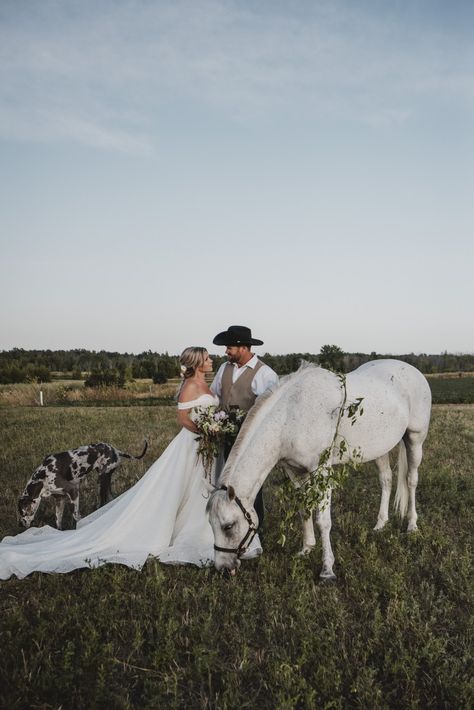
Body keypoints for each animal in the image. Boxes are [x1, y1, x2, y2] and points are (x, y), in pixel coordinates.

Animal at [18, 442, 148, 532]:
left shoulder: (73, 491)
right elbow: (58, 520)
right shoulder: (59, 499)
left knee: (103, 501)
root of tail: (115, 449)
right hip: (105, 481)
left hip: (101, 481)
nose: (20, 525)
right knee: (110, 498)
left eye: (23, 512)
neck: (41, 477)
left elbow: (76, 516)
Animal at [206, 358, 430, 580]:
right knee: (386, 480)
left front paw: (327, 568)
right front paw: (306, 548)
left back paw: (412, 525)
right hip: (379, 449)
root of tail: (411, 369)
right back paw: (380, 524)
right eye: (210, 524)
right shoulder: (295, 471)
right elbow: (304, 510)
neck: (290, 415)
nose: (223, 568)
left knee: (411, 480)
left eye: (228, 526)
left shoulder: (322, 471)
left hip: (415, 439)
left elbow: (323, 521)